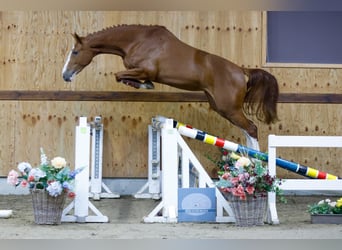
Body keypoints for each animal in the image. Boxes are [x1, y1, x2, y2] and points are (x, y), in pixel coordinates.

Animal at [62, 24, 280, 149]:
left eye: (75, 52)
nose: (65, 76)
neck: (136, 40)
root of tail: (241, 71)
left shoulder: (145, 70)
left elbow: (120, 76)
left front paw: (144, 86)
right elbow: (122, 76)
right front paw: (144, 85)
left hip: (230, 109)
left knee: (251, 128)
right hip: (222, 107)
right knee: (247, 131)